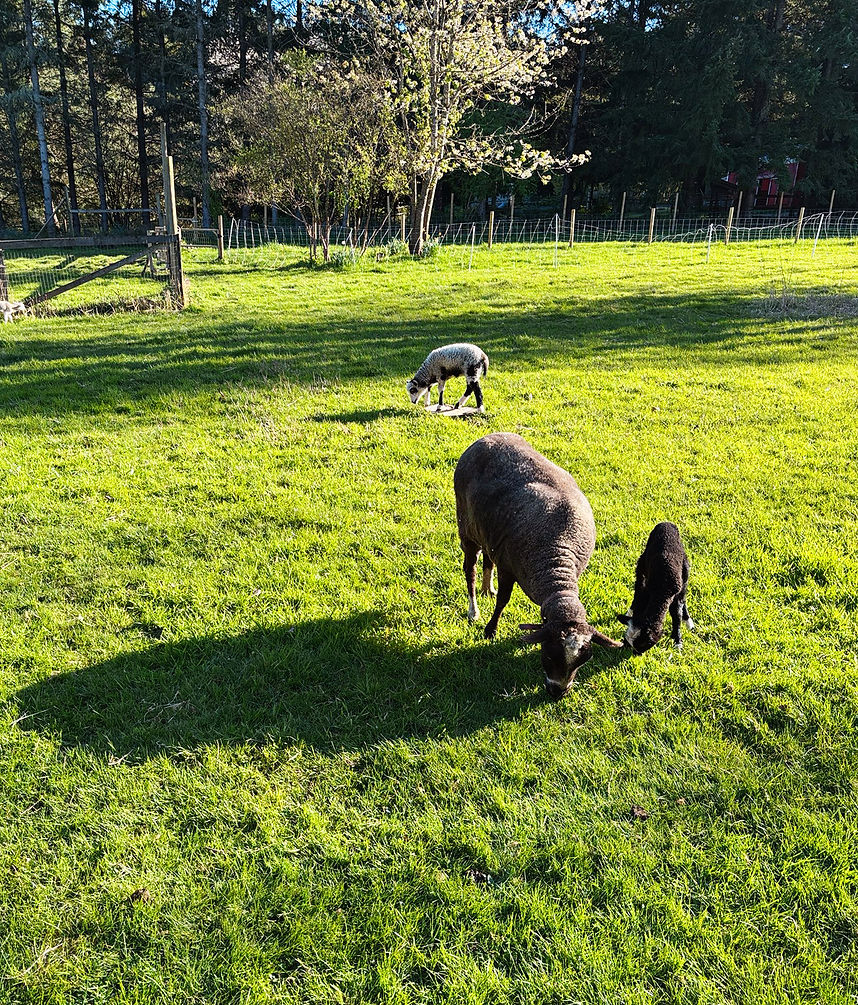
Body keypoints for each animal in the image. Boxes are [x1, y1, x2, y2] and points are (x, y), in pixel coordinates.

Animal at [454, 432, 622, 698]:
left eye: (583, 660)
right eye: (549, 654)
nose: (558, 693)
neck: (556, 564)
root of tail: (488, 436)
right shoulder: (508, 567)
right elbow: (503, 600)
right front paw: (490, 630)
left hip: (488, 532)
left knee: (488, 561)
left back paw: (486, 589)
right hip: (466, 527)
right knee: (469, 569)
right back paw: (474, 611)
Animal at [617, 521, 693, 653]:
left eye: (642, 646)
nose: (636, 654)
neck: (662, 590)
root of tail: (666, 523)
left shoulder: (676, 592)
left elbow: (677, 615)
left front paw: (677, 641)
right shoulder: (648, 589)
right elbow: (640, 599)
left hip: (685, 570)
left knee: (683, 598)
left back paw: (688, 620)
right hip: (642, 564)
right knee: (638, 587)